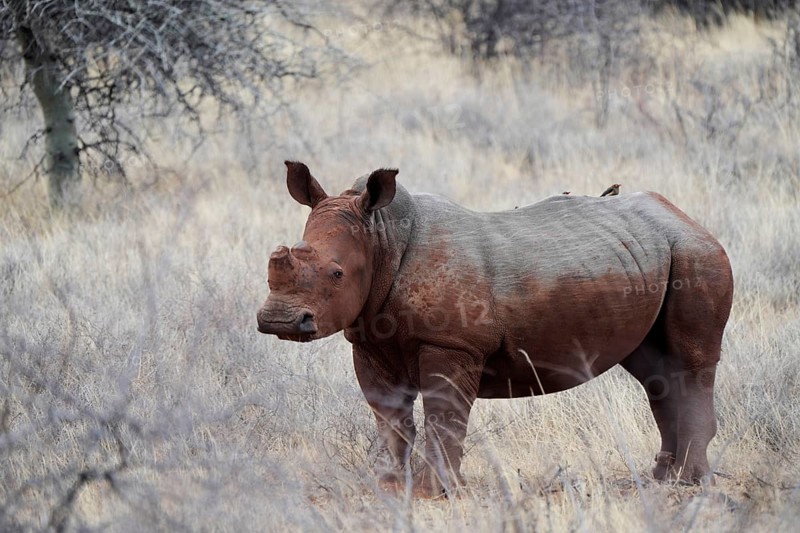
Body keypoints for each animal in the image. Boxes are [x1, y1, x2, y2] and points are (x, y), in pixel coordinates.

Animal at [257, 161, 734, 497]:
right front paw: (390, 489)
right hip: (649, 256)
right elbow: (389, 418)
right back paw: (662, 478)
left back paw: (689, 483)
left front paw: (437, 493)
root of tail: (688, 218)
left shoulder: (452, 345)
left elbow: (444, 416)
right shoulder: (369, 339)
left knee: (691, 362)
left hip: (695, 254)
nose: (279, 320)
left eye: (337, 274)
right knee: (655, 372)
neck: (381, 238)